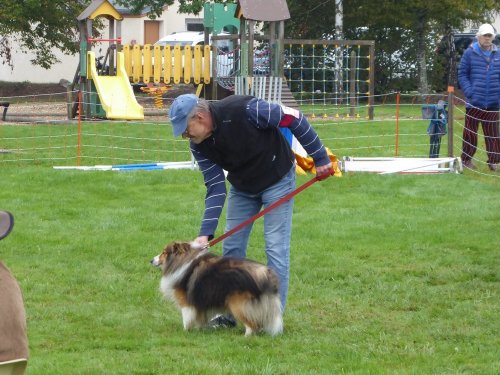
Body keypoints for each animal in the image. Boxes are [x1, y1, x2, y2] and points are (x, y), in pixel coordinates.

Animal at [150, 244, 284, 338]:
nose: (151, 260)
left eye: (164, 252)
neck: (181, 262)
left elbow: (186, 319)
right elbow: (199, 318)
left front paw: (185, 331)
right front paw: (199, 329)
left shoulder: (186, 303)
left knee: (252, 325)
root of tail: (264, 273)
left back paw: (245, 337)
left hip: (238, 305)